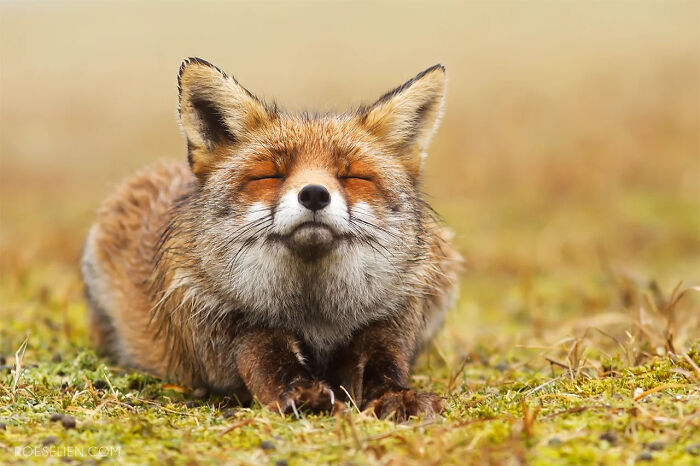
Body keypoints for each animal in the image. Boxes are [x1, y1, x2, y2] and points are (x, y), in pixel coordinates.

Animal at [81, 57, 461, 420]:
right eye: (271, 175)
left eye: (353, 176)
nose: (314, 194)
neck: (315, 315)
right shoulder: (231, 326)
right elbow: (271, 362)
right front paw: (302, 394)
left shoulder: (388, 322)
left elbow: (380, 369)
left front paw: (396, 397)